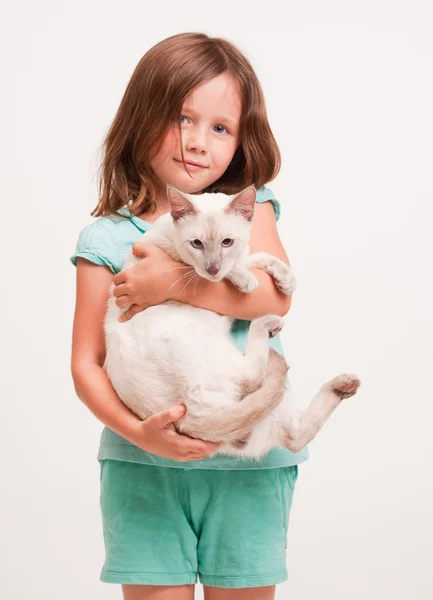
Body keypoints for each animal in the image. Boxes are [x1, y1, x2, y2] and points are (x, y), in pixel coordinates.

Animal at [103, 184, 360, 460]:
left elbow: (260, 257)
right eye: (197, 244)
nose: (212, 268)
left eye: (227, 242)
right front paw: (248, 281)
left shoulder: (240, 255)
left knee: (295, 436)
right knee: (254, 378)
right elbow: (236, 270)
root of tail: (187, 422)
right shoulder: (180, 263)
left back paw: (345, 384)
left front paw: (286, 281)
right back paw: (269, 324)